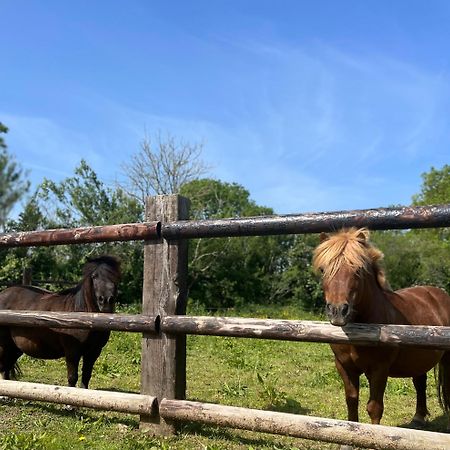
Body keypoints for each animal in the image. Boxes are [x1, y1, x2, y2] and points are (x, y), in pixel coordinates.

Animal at [0, 255, 120, 388]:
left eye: (116, 276)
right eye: (94, 276)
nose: (106, 301)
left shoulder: (94, 352)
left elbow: (86, 377)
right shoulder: (72, 352)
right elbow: (72, 378)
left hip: (14, 348)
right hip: (4, 345)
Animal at [314, 229, 450, 442]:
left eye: (358, 270)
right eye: (323, 270)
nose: (337, 311)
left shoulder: (379, 369)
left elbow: (374, 407)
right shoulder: (344, 366)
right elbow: (351, 401)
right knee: (420, 383)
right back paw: (418, 418)